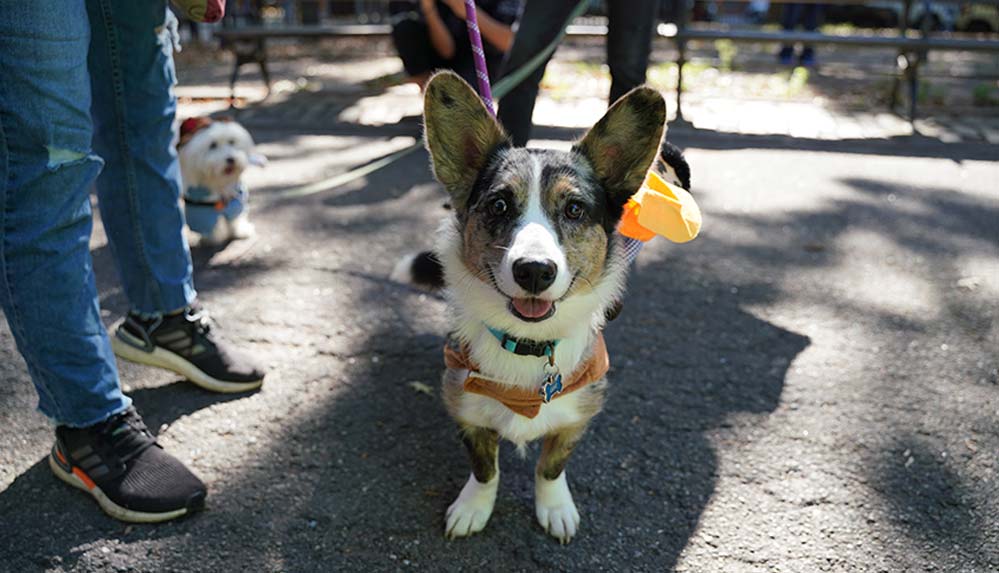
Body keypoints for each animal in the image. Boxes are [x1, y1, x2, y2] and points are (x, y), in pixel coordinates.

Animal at [178, 117, 266, 245]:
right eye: (212, 145)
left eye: (231, 141)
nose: (231, 159)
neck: (219, 182)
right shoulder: (200, 213)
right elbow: (208, 227)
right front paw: (212, 238)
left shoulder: (236, 204)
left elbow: (236, 219)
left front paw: (241, 230)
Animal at [394, 72, 692, 544]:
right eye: (498, 205)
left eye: (574, 209)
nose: (534, 271)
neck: (528, 344)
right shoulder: (466, 409)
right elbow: (486, 470)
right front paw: (473, 508)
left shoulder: (576, 417)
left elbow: (551, 468)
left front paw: (555, 510)